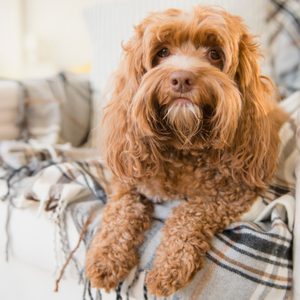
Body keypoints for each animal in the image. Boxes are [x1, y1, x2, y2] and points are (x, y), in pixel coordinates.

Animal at [85, 5, 286, 296]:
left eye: (214, 54)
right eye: (162, 52)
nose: (181, 78)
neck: (185, 143)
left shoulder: (233, 192)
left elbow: (189, 213)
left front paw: (170, 265)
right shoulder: (129, 178)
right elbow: (120, 212)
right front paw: (105, 257)